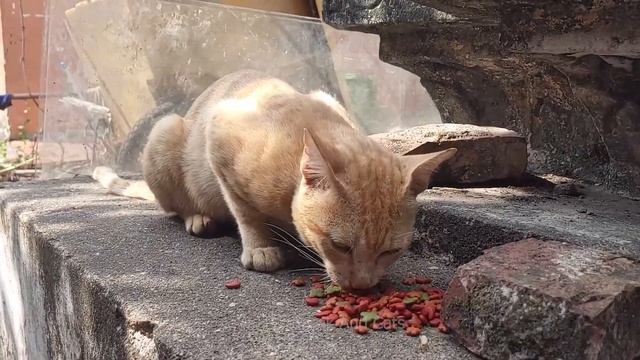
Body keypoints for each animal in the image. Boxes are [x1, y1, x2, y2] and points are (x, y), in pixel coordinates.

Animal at [94, 70, 456, 290]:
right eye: (340, 245)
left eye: (391, 251)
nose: (363, 286)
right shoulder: (220, 131)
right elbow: (246, 213)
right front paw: (261, 247)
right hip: (165, 131)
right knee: (174, 207)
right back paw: (199, 218)